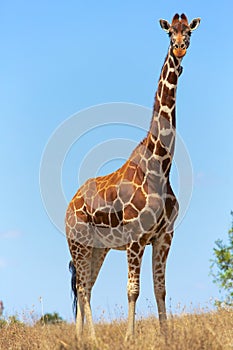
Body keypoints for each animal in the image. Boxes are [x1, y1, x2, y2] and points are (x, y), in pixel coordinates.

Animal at [65, 13, 200, 342]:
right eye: (170, 33)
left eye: (189, 32)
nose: (179, 49)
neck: (160, 164)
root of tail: (68, 206)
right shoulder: (136, 238)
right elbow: (133, 290)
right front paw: (130, 337)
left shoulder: (164, 236)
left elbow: (161, 289)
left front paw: (167, 337)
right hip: (77, 243)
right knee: (82, 288)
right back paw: (93, 338)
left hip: (97, 248)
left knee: (85, 286)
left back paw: (80, 338)